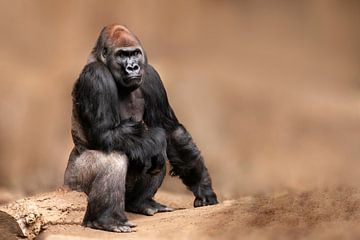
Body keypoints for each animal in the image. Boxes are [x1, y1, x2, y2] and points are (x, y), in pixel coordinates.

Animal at [63, 23, 218, 232]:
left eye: (135, 53)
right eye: (121, 55)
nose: (133, 67)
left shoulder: (151, 76)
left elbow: (170, 131)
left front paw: (203, 187)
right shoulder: (96, 76)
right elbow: (106, 134)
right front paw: (156, 138)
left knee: (156, 155)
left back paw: (141, 202)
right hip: (73, 186)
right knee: (116, 157)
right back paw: (105, 219)